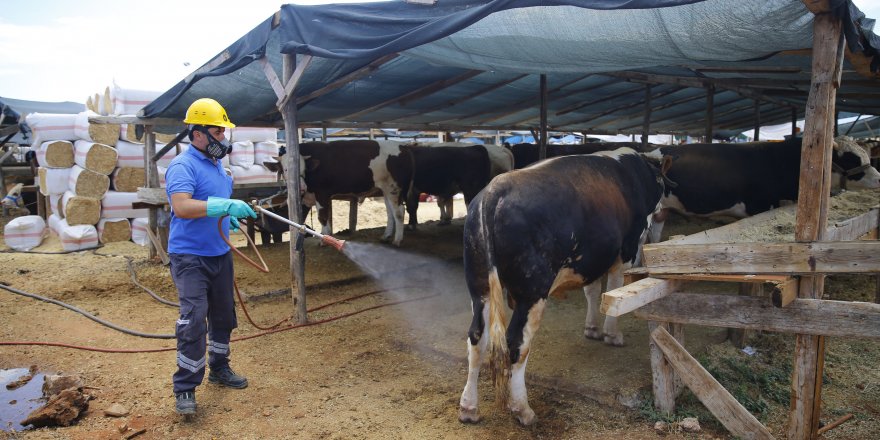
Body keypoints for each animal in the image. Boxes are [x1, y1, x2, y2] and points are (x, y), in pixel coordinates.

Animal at [458, 149, 672, 426]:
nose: (661, 211)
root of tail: (494, 191)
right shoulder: (625, 251)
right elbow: (614, 290)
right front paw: (611, 334)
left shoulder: (590, 259)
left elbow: (592, 291)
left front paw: (592, 328)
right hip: (532, 292)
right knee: (516, 343)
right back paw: (522, 409)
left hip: (480, 286)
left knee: (477, 338)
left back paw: (469, 407)